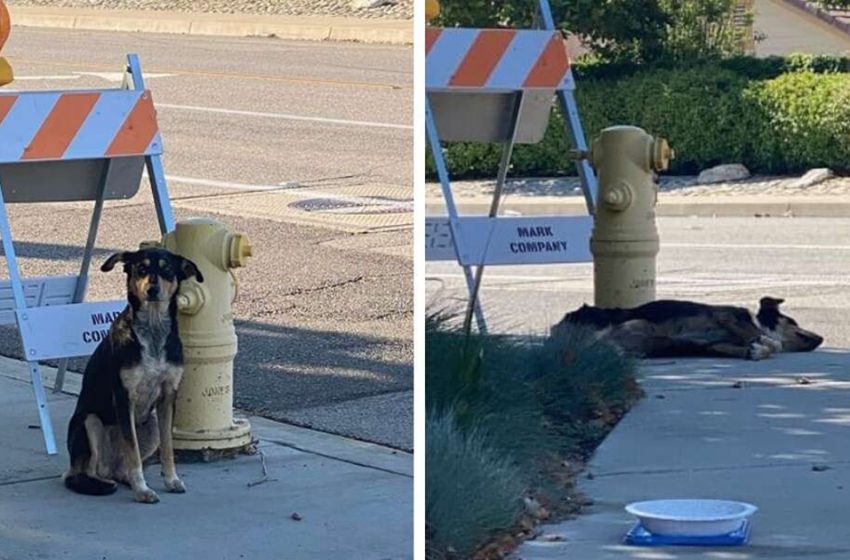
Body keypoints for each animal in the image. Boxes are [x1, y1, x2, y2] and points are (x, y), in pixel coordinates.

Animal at [63, 248, 203, 504]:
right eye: (142, 269)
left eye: (167, 270)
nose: (152, 289)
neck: (154, 330)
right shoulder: (124, 396)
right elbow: (133, 452)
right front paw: (142, 490)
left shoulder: (168, 396)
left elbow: (168, 448)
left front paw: (171, 480)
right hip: (89, 421)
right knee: (84, 472)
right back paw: (103, 484)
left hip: (152, 426)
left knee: (119, 469)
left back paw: (124, 479)